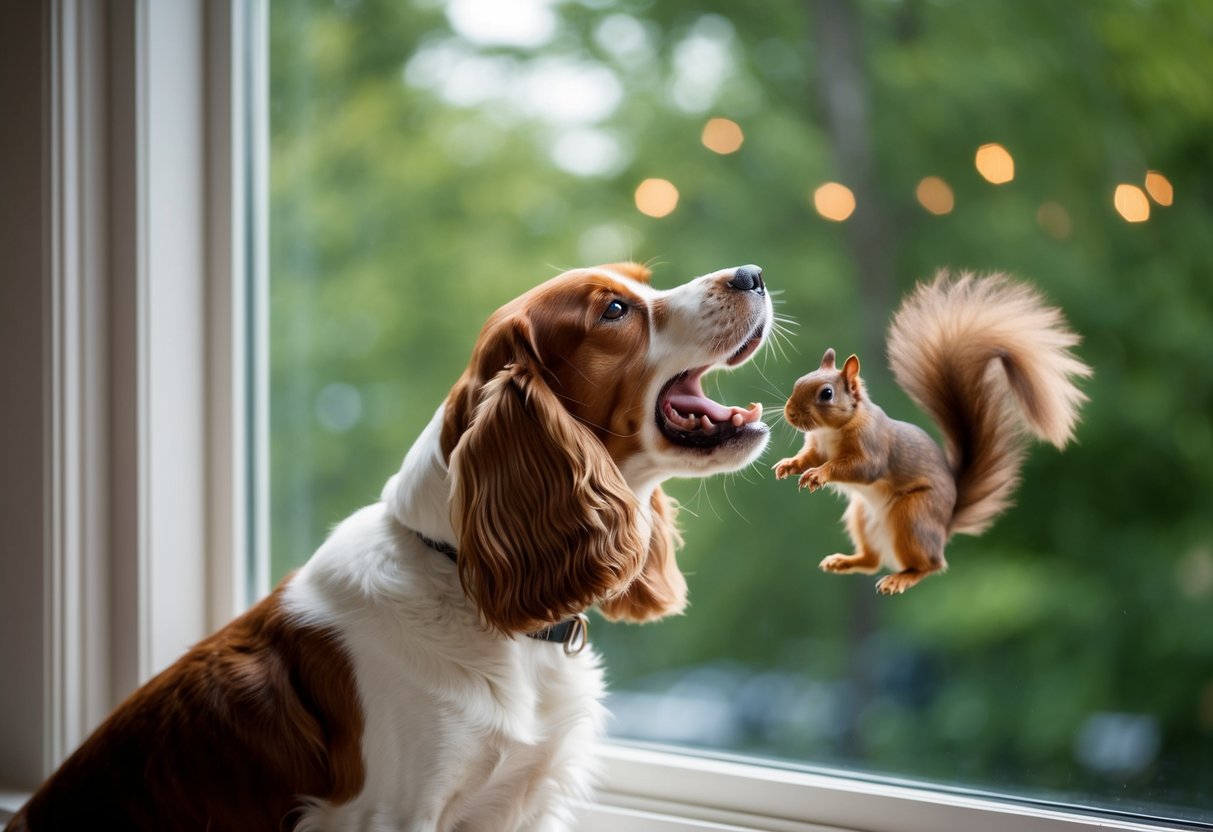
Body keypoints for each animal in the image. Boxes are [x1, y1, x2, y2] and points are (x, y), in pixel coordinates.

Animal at [773, 272, 1092, 595]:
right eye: (799, 381)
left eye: (826, 394)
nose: (790, 414)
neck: (831, 430)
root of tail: (944, 525)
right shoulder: (818, 446)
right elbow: (810, 457)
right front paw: (789, 465)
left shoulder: (872, 446)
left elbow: (860, 467)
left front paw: (819, 474)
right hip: (862, 516)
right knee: (873, 560)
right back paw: (845, 561)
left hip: (912, 517)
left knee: (931, 565)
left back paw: (900, 578)